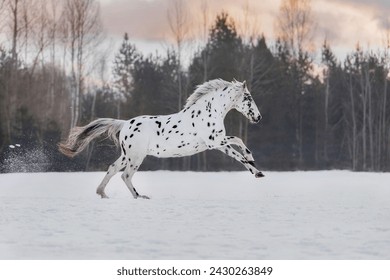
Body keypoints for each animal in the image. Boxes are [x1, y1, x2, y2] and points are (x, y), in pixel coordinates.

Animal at [58, 79, 264, 199]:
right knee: (126, 175)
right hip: (136, 157)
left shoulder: (218, 141)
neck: (208, 112)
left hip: (127, 156)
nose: (258, 117)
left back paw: (102, 193)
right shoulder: (215, 143)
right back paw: (139, 196)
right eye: (248, 97)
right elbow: (239, 156)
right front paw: (257, 172)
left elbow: (239, 141)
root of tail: (124, 124)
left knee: (112, 169)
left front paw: (253, 159)